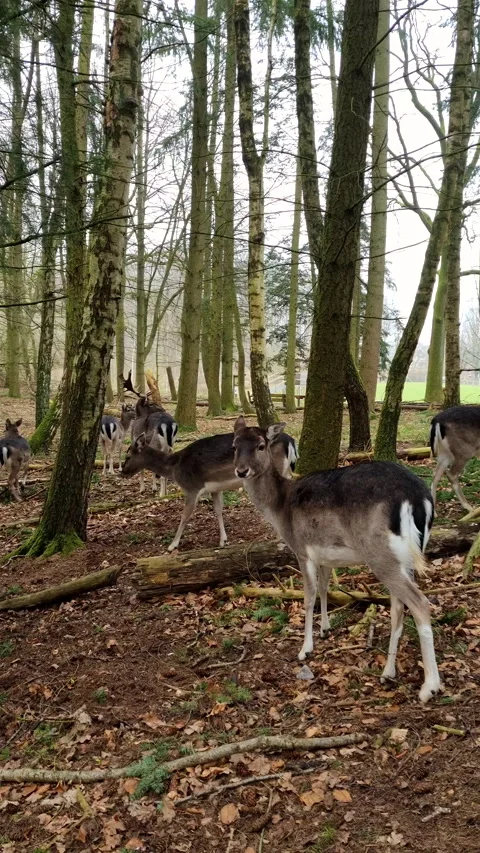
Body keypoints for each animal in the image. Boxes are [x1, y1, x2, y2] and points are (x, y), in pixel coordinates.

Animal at [121, 428, 298, 551]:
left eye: (128, 456)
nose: (122, 472)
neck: (175, 467)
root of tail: (290, 441)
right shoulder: (215, 488)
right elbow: (218, 510)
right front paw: (223, 540)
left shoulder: (191, 487)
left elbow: (185, 516)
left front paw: (172, 545)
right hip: (286, 470)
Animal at [232, 417, 441, 704]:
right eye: (234, 445)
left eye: (261, 445)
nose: (241, 471)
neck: (280, 508)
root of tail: (419, 498)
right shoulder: (324, 557)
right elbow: (324, 588)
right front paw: (325, 628)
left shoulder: (301, 549)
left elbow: (307, 597)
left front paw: (305, 649)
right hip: (407, 555)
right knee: (399, 606)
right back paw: (388, 672)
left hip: (380, 553)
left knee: (419, 602)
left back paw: (429, 686)